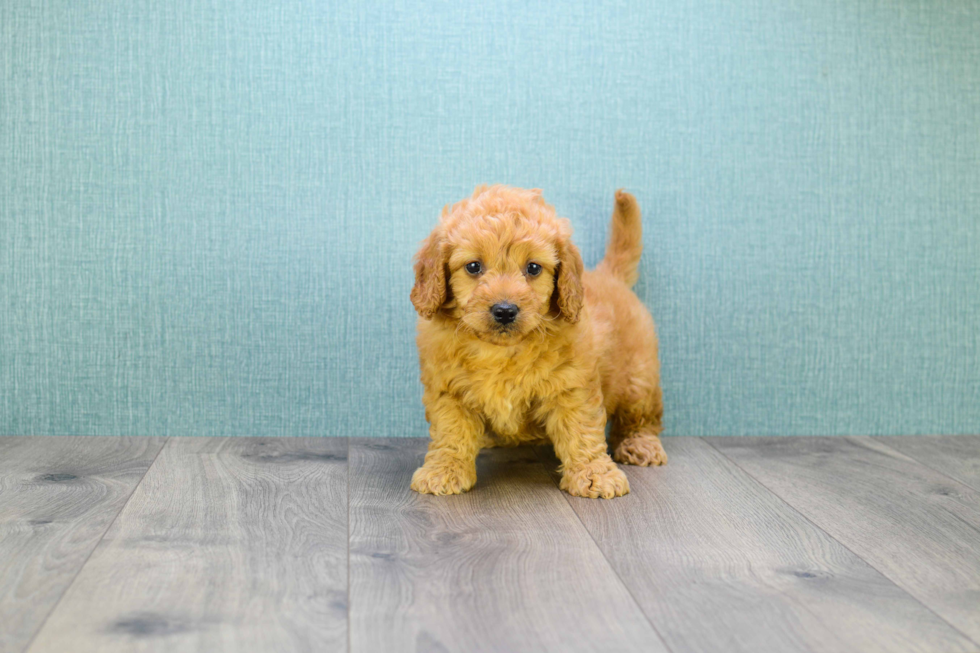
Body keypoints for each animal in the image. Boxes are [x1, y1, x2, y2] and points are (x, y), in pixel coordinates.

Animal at [406, 185, 668, 500]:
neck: (501, 351)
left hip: (638, 377)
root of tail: (609, 275)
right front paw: (444, 470)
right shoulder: (448, 389)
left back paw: (640, 444)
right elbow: (451, 432)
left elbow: (582, 431)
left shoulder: (572, 387)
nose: (505, 310)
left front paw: (594, 475)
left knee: (641, 417)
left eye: (533, 268)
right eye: (473, 266)